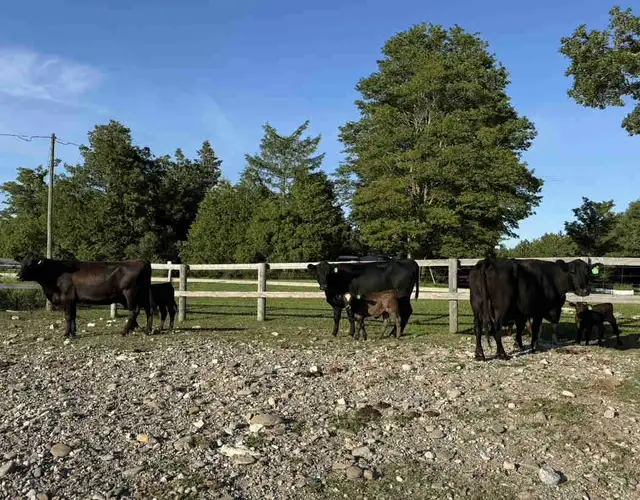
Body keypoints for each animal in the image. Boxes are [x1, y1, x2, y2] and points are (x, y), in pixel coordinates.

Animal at [17, 257, 153, 338]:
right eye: (22, 264)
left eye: (30, 265)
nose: (18, 276)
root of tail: (141, 261)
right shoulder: (72, 300)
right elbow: (73, 316)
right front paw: (73, 333)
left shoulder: (66, 297)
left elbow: (67, 316)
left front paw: (66, 334)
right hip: (143, 293)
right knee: (148, 310)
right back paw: (147, 330)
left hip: (130, 293)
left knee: (134, 311)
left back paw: (125, 331)